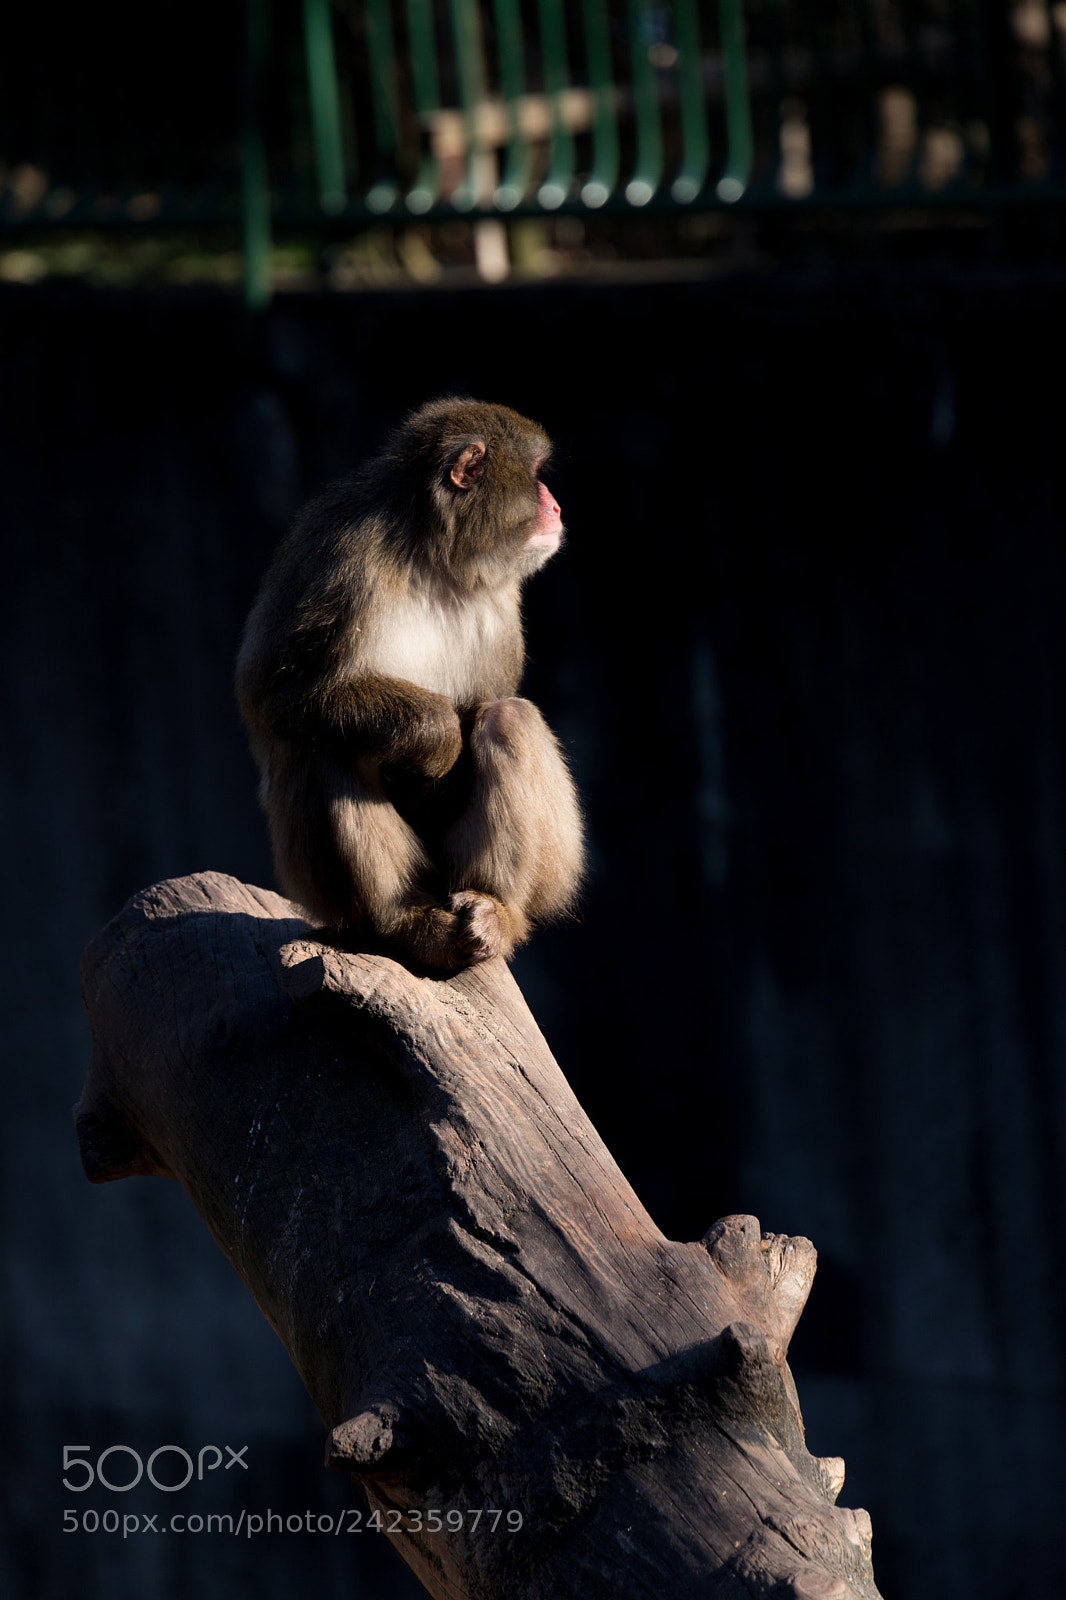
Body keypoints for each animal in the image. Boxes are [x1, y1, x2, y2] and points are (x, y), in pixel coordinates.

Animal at [235, 397, 585, 972]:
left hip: (492, 870)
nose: (556, 508)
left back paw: (496, 909)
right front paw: (436, 736)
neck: (433, 554)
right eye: (536, 475)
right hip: (326, 891)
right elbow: (272, 694)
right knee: (320, 744)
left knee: (508, 718)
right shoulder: (341, 556)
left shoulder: (502, 600)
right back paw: (405, 921)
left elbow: (489, 702)